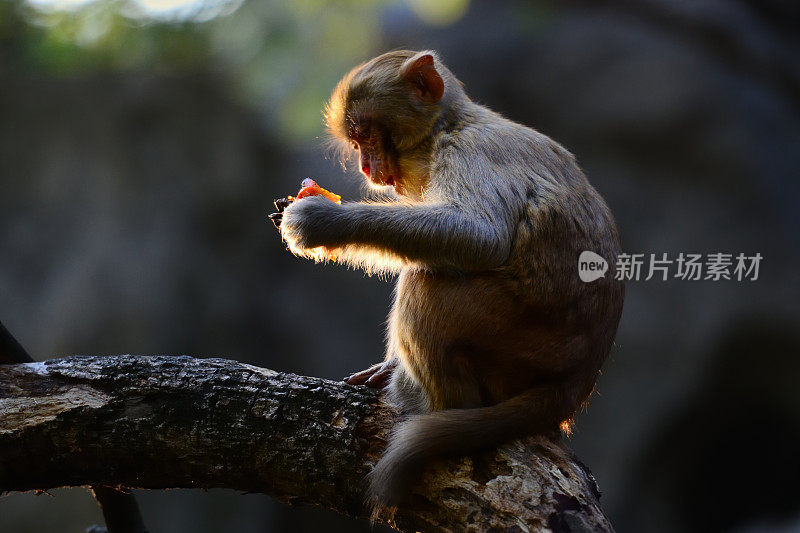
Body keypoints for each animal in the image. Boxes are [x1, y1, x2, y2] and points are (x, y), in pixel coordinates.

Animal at [282, 51, 624, 512]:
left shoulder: (471, 152)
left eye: (365, 134)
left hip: (519, 338)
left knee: (427, 284)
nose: (366, 165)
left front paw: (321, 220)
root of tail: (577, 381)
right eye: (354, 143)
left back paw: (439, 407)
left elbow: (479, 234)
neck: (448, 128)